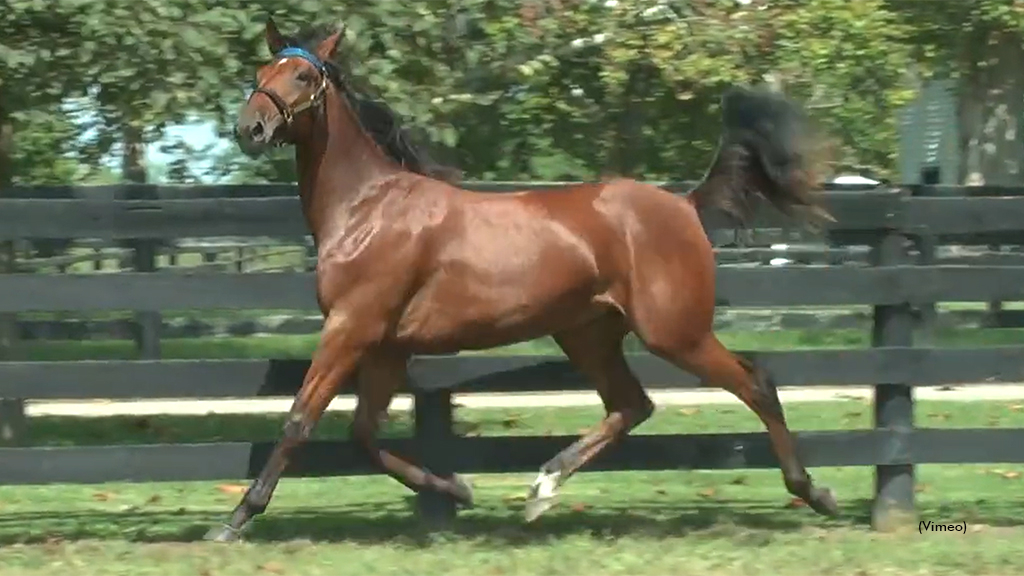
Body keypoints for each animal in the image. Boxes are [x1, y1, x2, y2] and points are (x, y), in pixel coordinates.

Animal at [205, 15, 839, 541]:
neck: (367, 209)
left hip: (675, 333)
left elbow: (298, 421)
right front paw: (458, 490)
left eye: (302, 75)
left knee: (755, 385)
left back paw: (817, 494)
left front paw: (234, 521)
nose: (249, 128)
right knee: (632, 405)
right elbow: (363, 435)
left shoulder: (350, 328)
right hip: (587, 334)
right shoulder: (384, 345)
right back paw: (541, 489)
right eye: (260, 71)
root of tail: (683, 205)